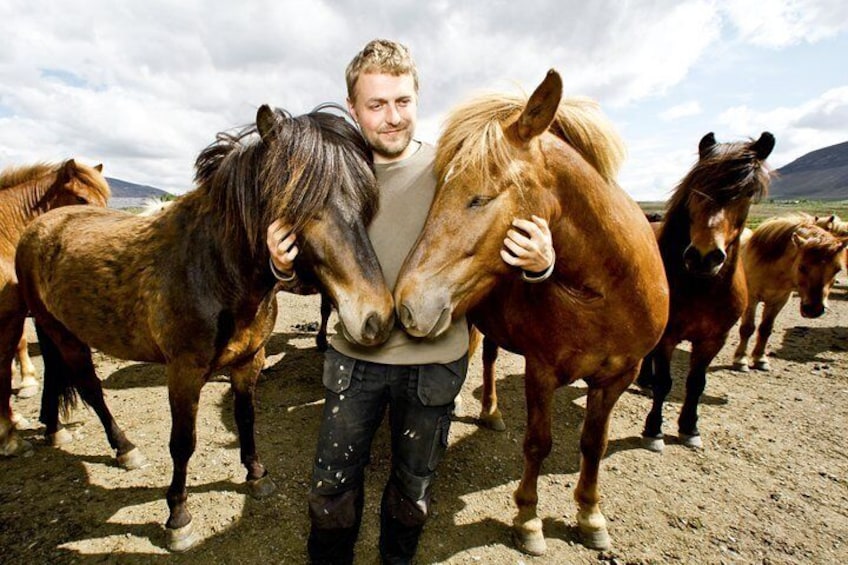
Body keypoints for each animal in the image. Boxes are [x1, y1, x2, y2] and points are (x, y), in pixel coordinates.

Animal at [392, 69, 668, 552]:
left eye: (479, 198)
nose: (408, 303)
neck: (607, 293)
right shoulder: (541, 371)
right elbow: (539, 443)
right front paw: (528, 519)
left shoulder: (619, 376)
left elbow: (594, 443)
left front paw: (591, 515)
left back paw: (491, 412)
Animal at [640, 130, 780, 452]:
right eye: (696, 187)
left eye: (747, 193)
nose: (704, 256)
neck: (700, 286)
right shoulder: (668, 335)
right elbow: (666, 382)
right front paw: (654, 430)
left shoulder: (715, 338)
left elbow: (696, 383)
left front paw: (689, 427)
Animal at [732, 213, 844, 370]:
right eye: (802, 267)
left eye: (837, 270)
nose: (813, 310)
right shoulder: (752, 298)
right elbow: (747, 328)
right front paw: (740, 359)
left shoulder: (779, 301)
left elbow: (766, 329)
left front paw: (760, 359)